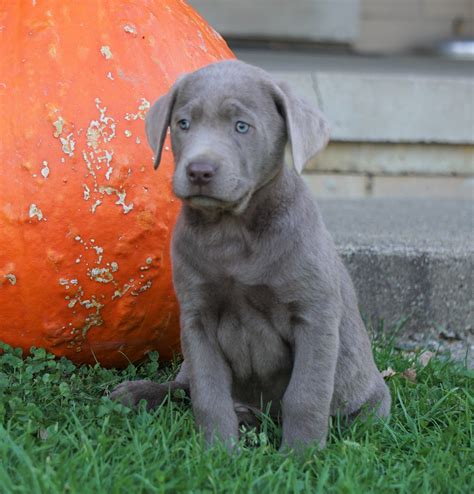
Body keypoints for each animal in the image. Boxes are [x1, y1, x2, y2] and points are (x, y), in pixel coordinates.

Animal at [112, 60, 392, 452]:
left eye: (241, 126)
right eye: (183, 124)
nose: (199, 171)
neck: (231, 230)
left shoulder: (314, 315)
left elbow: (306, 394)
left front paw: (300, 455)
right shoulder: (197, 318)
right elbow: (207, 392)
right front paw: (218, 451)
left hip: (370, 397)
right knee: (184, 386)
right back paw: (139, 394)